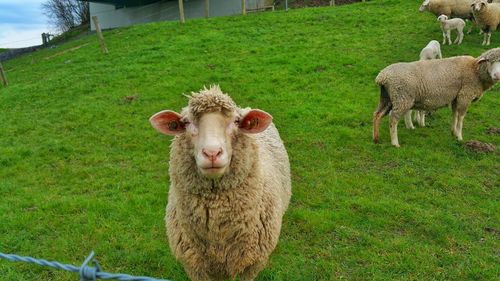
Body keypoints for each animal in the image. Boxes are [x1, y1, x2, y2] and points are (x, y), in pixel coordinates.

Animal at [372, 47, 500, 147]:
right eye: (489, 61)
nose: (497, 75)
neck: (475, 71)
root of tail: (382, 76)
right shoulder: (465, 95)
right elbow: (461, 117)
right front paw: (459, 137)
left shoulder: (456, 96)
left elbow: (454, 114)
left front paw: (453, 132)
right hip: (402, 98)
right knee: (393, 119)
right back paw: (395, 143)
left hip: (387, 98)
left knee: (377, 114)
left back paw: (376, 138)